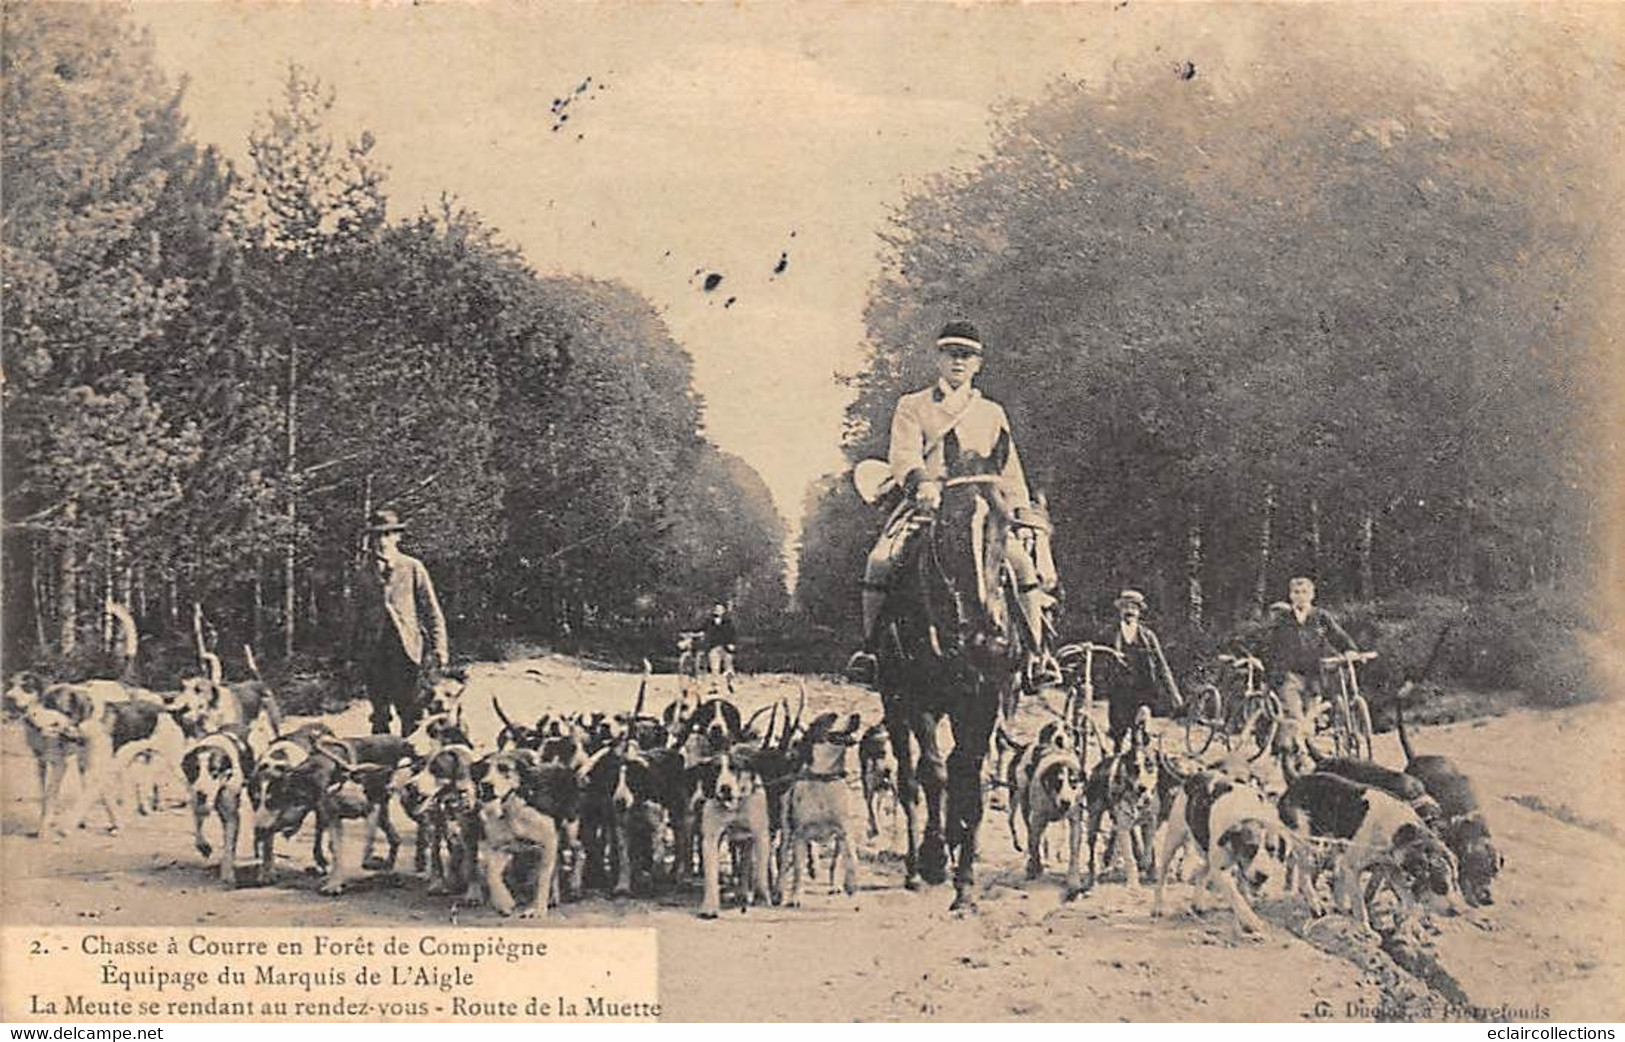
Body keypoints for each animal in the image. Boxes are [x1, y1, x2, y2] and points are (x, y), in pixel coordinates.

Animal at [884, 429, 1020, 910]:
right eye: (947, 520)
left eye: (1005, 519)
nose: (982, 631)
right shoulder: (918, 701)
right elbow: (934, 773)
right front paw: (934, 856)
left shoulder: (983, 701)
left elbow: (969, 774)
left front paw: (965, 881)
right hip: (894, 704)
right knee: (909, 778)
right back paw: (914, 864)